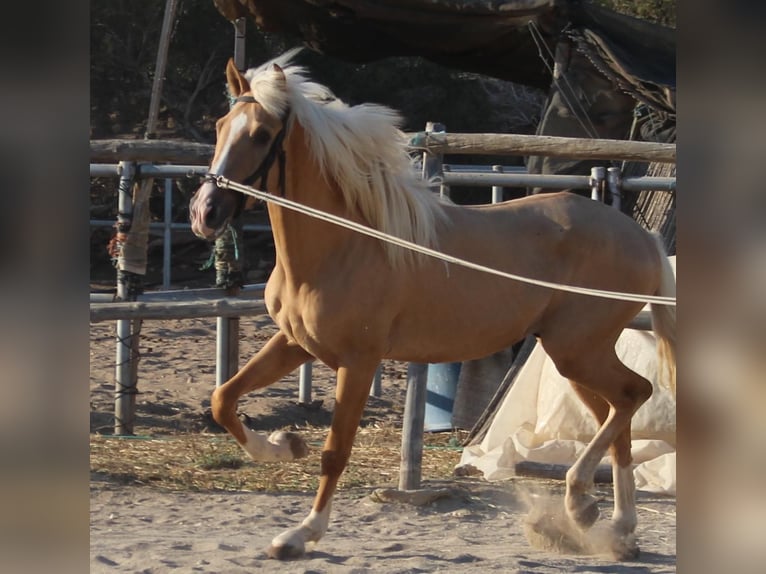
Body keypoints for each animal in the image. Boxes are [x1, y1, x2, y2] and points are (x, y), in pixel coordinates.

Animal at [190, 49, 680, 564]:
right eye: (220, 125)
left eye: (261, 134)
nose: (204, 213)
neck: (344, 245)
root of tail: (642, 237)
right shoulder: (295, 344)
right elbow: (223, 399)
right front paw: (284, 446)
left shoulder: (358, 362)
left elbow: (335, 451)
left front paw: (301, 534)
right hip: (577, 355)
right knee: (619, 411)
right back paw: (615, 529)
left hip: (578, 350)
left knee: (634, 395)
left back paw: (582, 503)